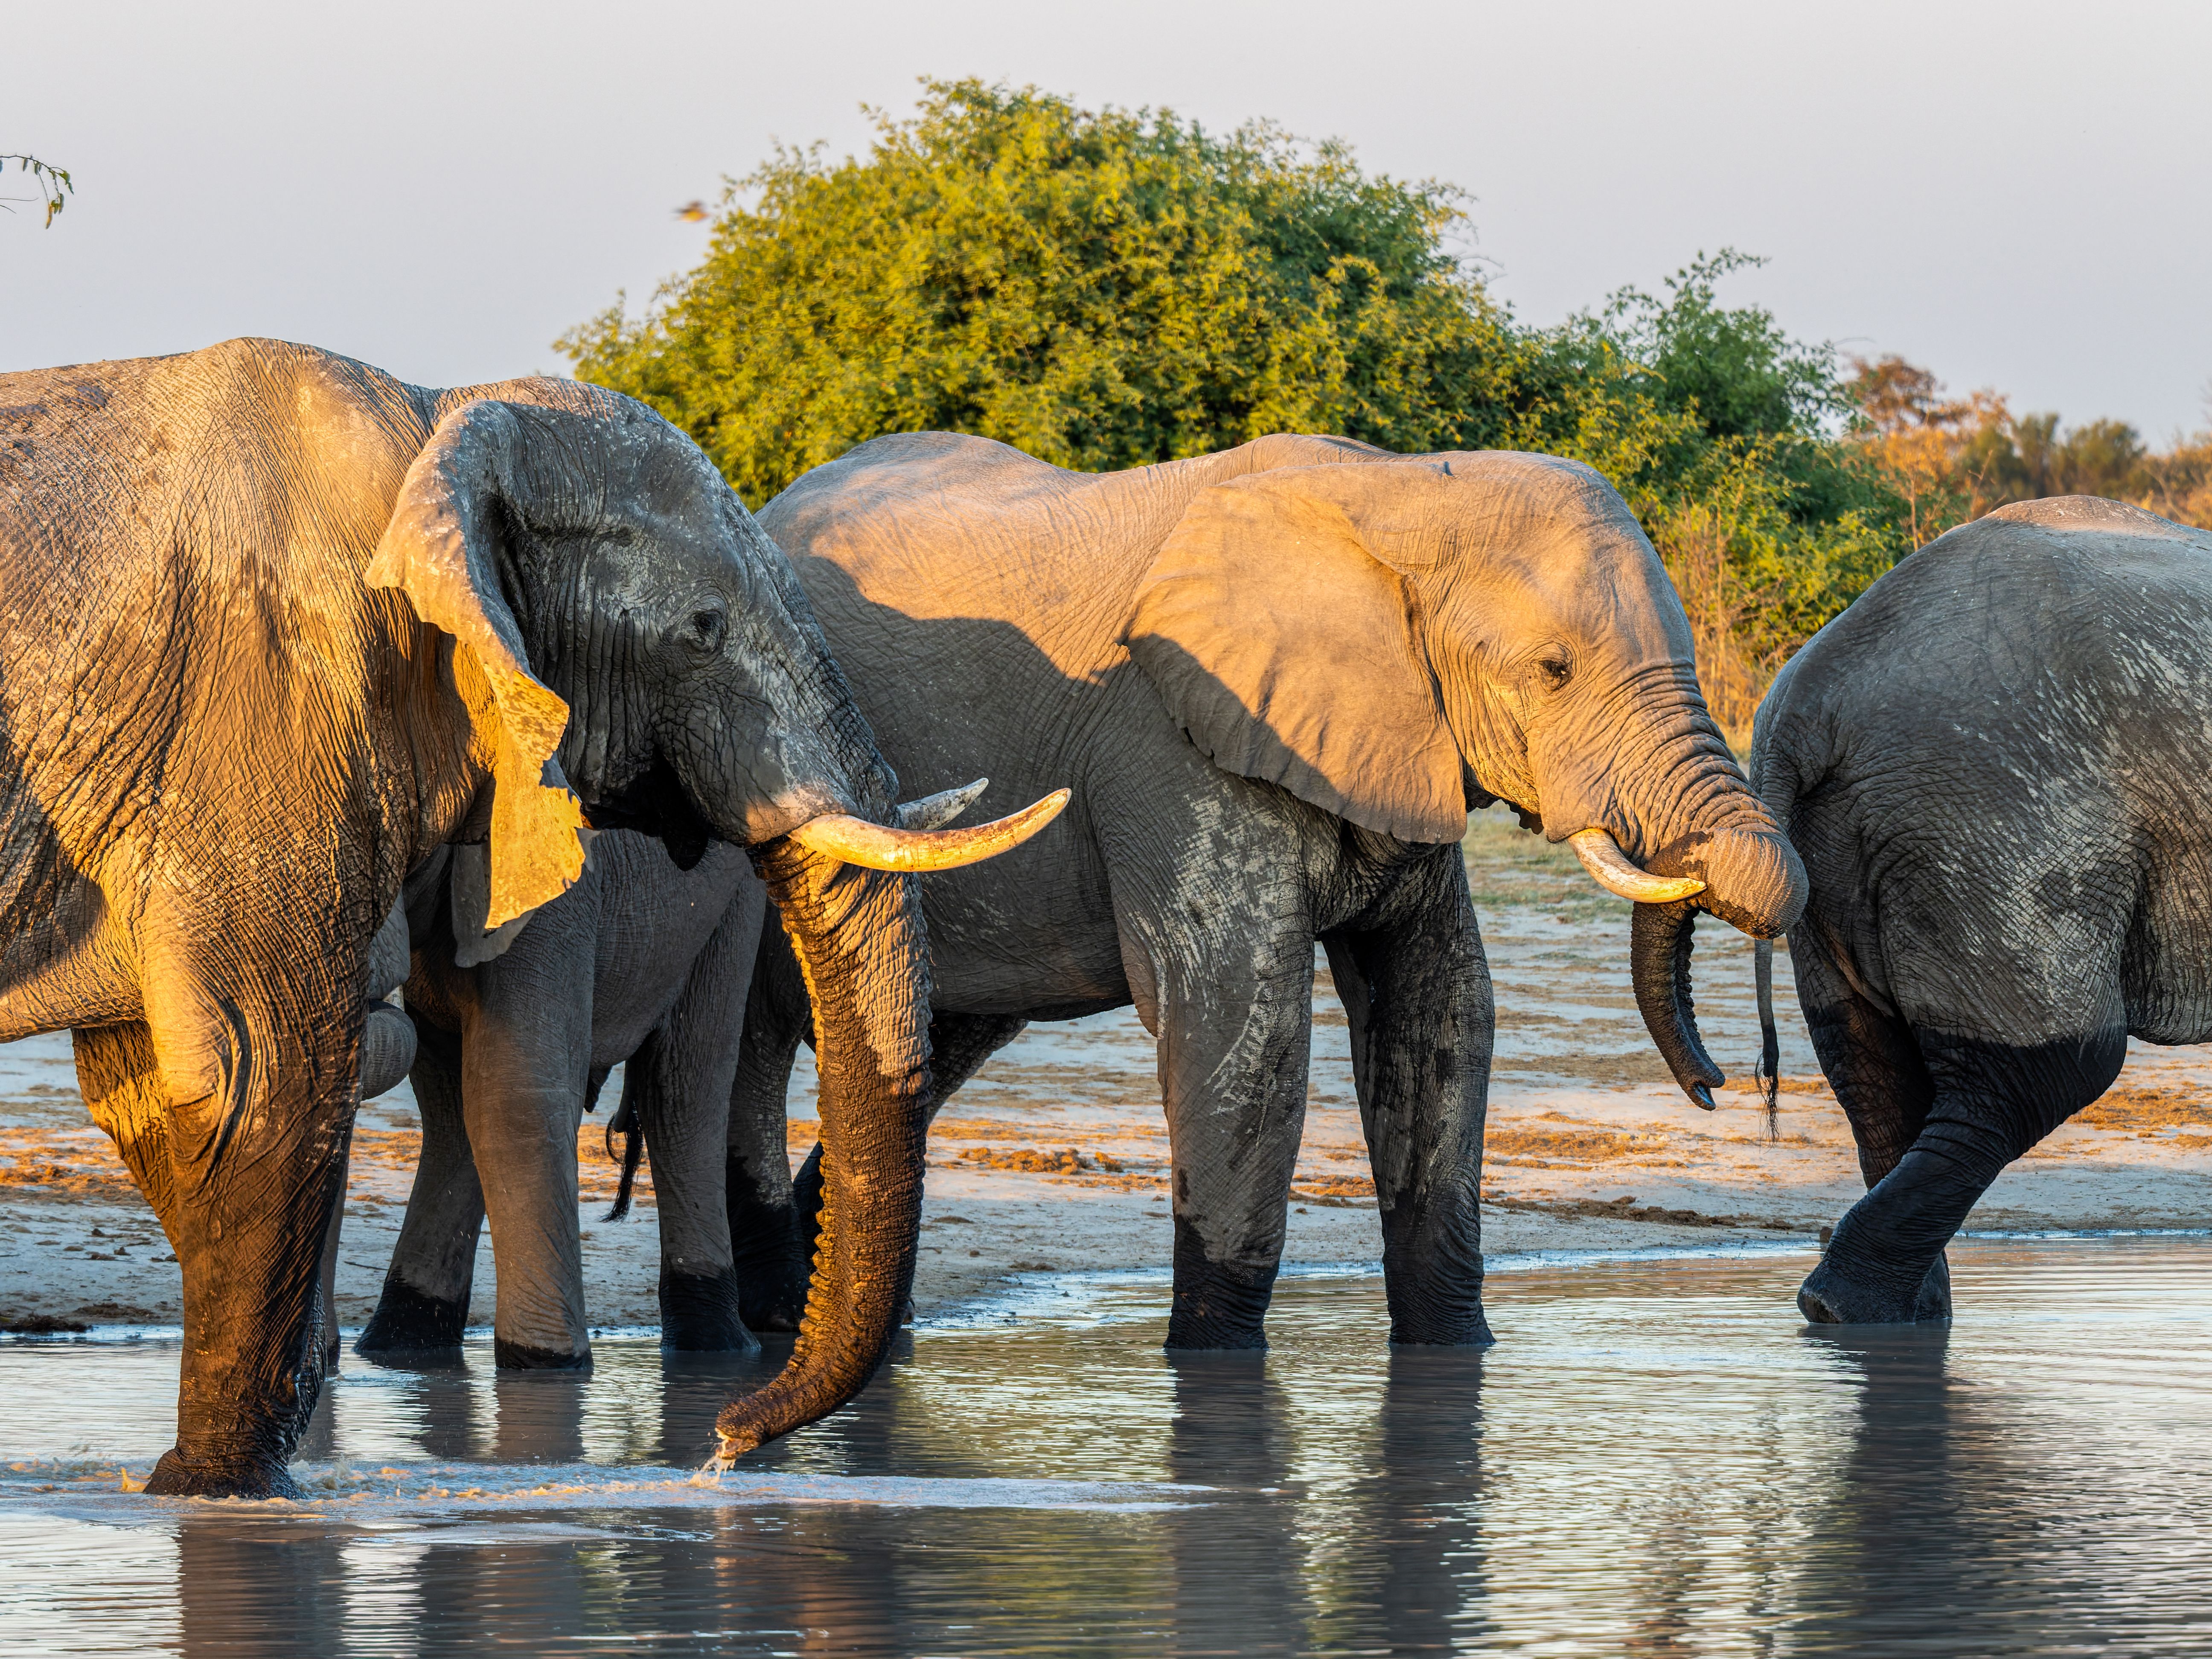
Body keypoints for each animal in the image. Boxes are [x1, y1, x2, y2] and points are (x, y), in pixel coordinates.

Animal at [0, 338, 1051, 1495]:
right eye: (702, 631)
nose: (730, 1444)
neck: (437, 424)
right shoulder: (260, 705)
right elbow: (255, 1076)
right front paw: (215, 1494)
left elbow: (180, 1083)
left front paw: (205, 1489)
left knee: (664, 1085)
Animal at [714, 431, 1805, 1350]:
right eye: (1554, 668)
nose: (1720, 1087)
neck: (1401, 493)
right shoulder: (1178, 744)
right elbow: (1244, 1017)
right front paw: (1214, 1369)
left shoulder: (1401, 742)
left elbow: (1438, 1008)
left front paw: (1457, 1355)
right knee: (760, 1032)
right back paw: (770, 1315)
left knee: (937, 1039)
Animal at [1744, 496, 2212, 1323]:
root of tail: (1808, 699)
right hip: (2004, 820)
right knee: (2049, 1069)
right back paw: (1851, 1310)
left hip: (1836, 847)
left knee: (1870, 1067)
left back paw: (1877, 1317)